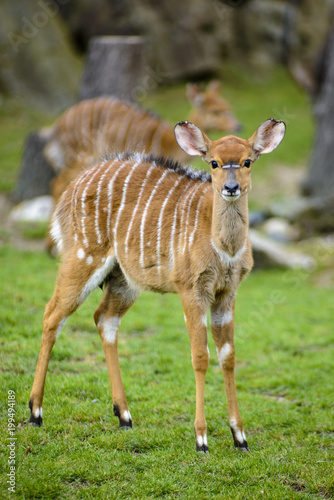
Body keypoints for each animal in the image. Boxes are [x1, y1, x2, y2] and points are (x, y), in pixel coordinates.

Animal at [29, 118, 284, 454]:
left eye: (247, 162)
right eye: (214, 163)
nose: (231, 188)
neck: (223, 246)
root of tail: (72, 187)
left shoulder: (227, 293)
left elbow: (228, 356)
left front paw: (240, 437)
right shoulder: (191, 289)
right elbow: (200, 356)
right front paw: (201, 439)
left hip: (124, 279)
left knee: (104, 318)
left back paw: (124, 416)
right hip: (83, 257)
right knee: (52, 315)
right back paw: (35, 412)